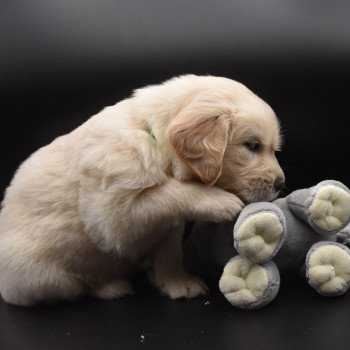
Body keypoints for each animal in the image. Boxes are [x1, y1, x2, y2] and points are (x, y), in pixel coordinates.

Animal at [0, 75, 284, 304]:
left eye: (272, 148)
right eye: (252, 145)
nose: (281, 184)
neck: (154, 139)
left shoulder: (168, 226)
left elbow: (171, 252)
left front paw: (178, 282)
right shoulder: (114, 215)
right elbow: (167, 192)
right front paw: (219, 202)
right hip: (42, 276)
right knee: (79, 286)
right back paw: (111, 286)